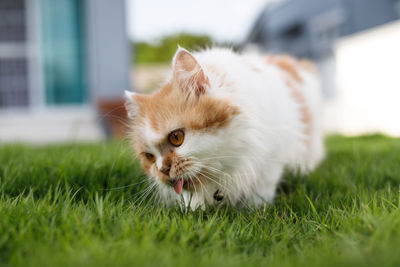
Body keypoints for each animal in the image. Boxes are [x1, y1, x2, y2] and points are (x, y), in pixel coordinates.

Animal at [125, 47, 324, 211]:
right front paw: (195, 209)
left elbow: (261, 191)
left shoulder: (270, 156)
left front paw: (256, 210)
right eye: (149, 157)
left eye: (176, 137)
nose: (163, 170)